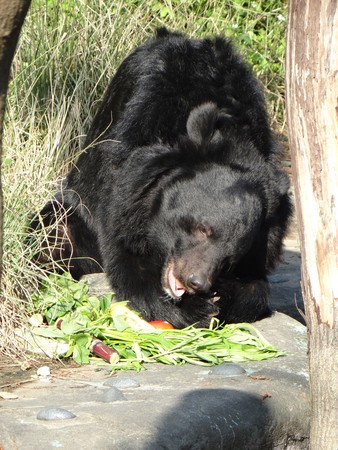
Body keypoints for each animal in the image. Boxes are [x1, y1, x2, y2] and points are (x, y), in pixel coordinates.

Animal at [33, 29, 292, 326]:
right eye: (203, 229)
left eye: (232, 255)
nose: (197, 282)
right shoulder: (126, 167)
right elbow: (126, 257)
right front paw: (194, 308)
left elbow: (256, 284)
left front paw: (225, 297)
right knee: (53, 233)